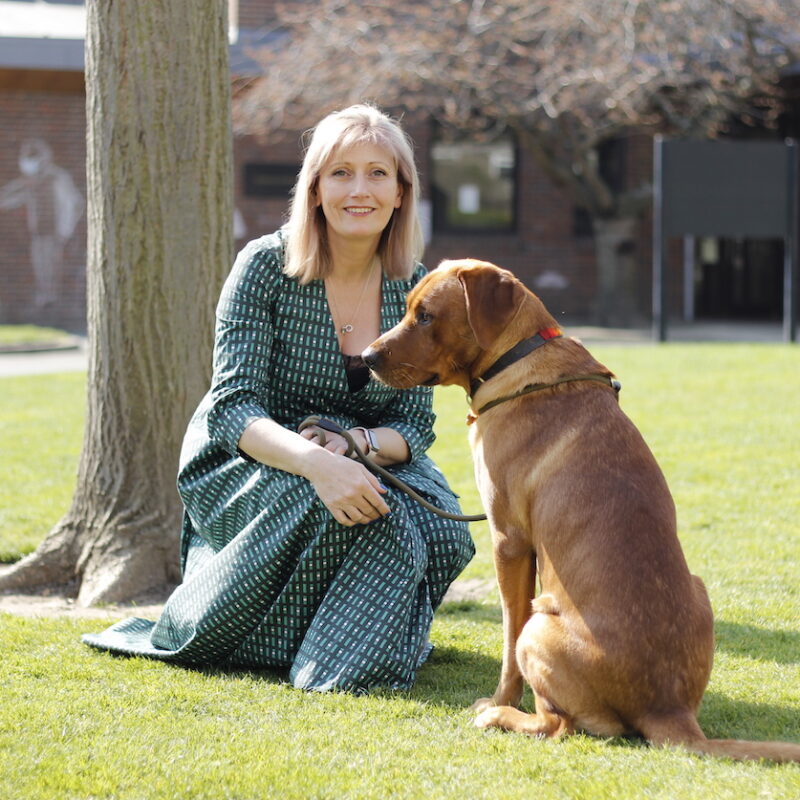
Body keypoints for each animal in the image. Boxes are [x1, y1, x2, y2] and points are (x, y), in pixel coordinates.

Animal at [366, 258, 800, 764]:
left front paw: (497, 700)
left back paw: (500, 717)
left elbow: (507, 644)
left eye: (426, 316)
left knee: (557, 725)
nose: (366, 357)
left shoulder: (509, 542)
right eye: (408, 309)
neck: (517, 358)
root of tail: (669, 712)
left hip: (539, 623)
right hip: (700, 588)